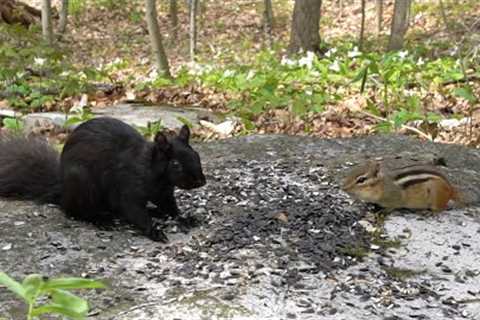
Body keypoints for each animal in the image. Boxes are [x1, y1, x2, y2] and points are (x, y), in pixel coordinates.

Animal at [0, 117, 205, 240]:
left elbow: (170, 207)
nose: (201, 181)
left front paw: (184, 218)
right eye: (176, 164)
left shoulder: (163, 193)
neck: (157, 175)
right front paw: (154, 231)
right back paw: (100, 220)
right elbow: (134, 211)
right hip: (82, 184)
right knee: (75, 212)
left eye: (196, 155)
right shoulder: (128, 188)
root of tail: (62, 191)